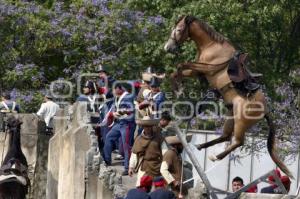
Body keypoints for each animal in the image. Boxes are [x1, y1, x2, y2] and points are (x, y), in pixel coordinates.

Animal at [164, 15, 292, 177]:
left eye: (179, 29)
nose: (168, 47)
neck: (210, 45)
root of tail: (266, 111)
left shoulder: (207, 68)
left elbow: (181, 64)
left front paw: (179, 88)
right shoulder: (197, 70)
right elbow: (176, 72)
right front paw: (178, 88)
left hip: (241, 121)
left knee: (237, 141)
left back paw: (215, 156)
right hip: (231, 116)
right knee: (225, 136)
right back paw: (201, 146)